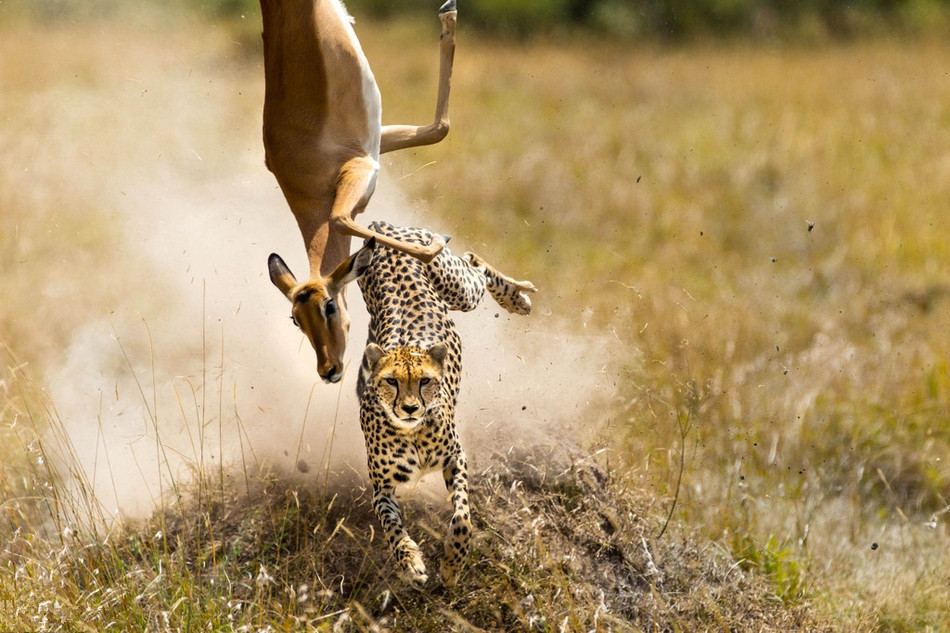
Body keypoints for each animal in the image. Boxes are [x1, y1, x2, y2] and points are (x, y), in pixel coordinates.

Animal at [356, 220, 536, 584]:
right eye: (391, 381)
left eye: (425, 381)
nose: (410, 408)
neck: (411, 432)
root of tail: (379, 225)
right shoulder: (382, 489)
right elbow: (392, 528)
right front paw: (410, 563)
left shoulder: (456, 457)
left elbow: (463, 516)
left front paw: (453, 562)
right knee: (474, 263)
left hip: (459, 289)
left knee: (476, 265)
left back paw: (517, 297)